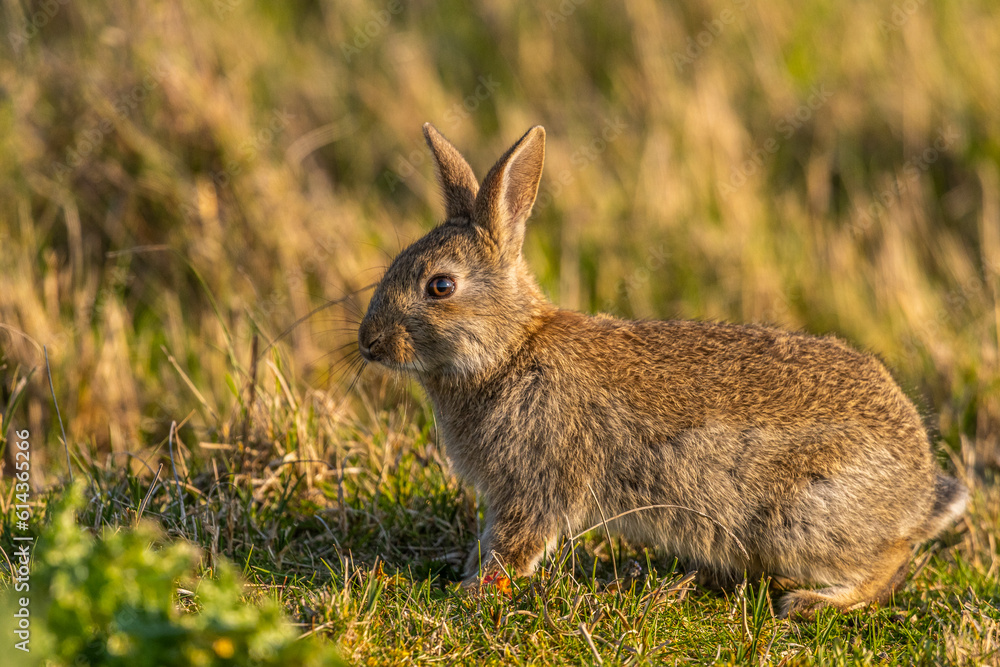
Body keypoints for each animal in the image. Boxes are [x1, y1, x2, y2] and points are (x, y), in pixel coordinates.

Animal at [357, 123, 968, 618]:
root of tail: (917, 495)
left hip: (802, 520)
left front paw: (473, 592)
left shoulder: (538, 481)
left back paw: (813, 602)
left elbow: (515, 544)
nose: (368, 344)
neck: (510, 351)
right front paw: (466, 576)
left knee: (889, 563)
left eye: (440, 286)